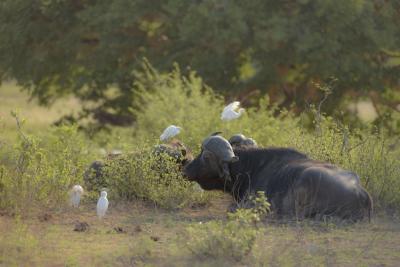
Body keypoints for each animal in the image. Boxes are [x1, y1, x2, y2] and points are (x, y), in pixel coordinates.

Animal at [184, 136, 372, 222]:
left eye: (205, 156)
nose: (185, 169)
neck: (251, 168)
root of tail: (361, 193)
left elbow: (232, 208)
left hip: (307, 179)